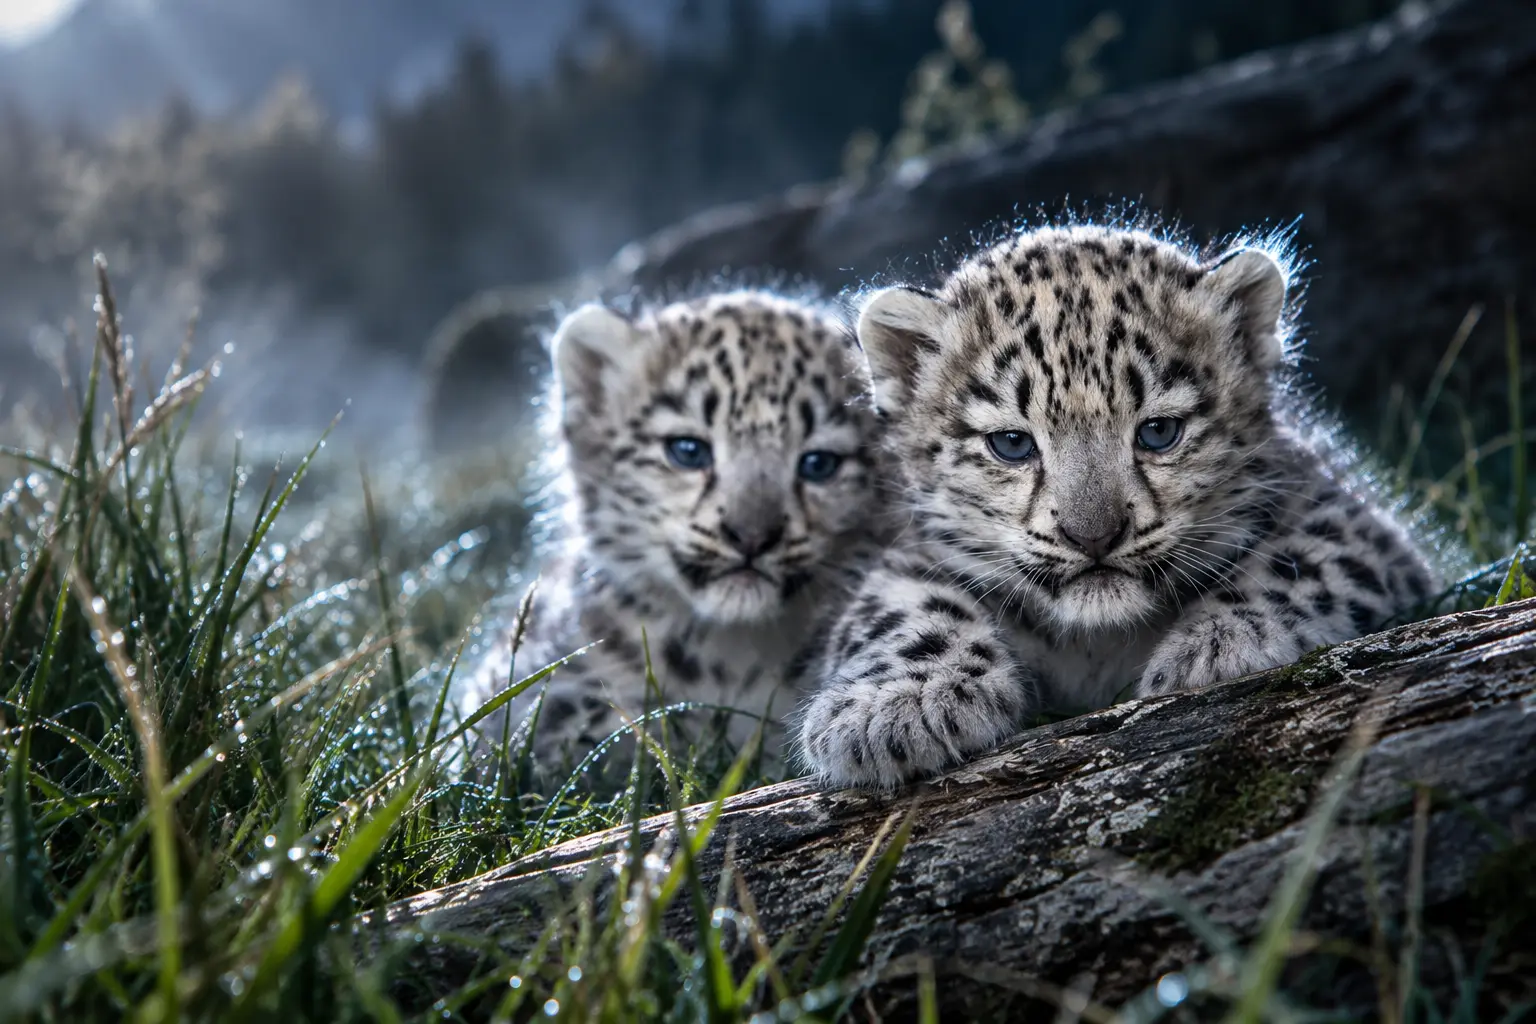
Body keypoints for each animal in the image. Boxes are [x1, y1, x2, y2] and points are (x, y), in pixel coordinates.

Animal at [797, 223, 1438, 790]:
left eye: (1158, 431)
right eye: (1012, 443)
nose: (1094, 535)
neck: (1096, 646)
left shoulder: (1344, 517)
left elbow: (1304, 562)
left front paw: (1219, 646)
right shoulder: (910, 555)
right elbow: (901, 609)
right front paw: (893, 707)